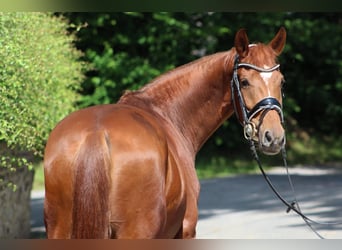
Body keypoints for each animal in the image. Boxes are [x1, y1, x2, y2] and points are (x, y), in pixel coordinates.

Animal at [44, 26, 288, 238]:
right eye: (244, 82)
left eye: (281, 82)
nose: (273, 136)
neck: (168, 114)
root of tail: (96, 133)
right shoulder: (185, 230)